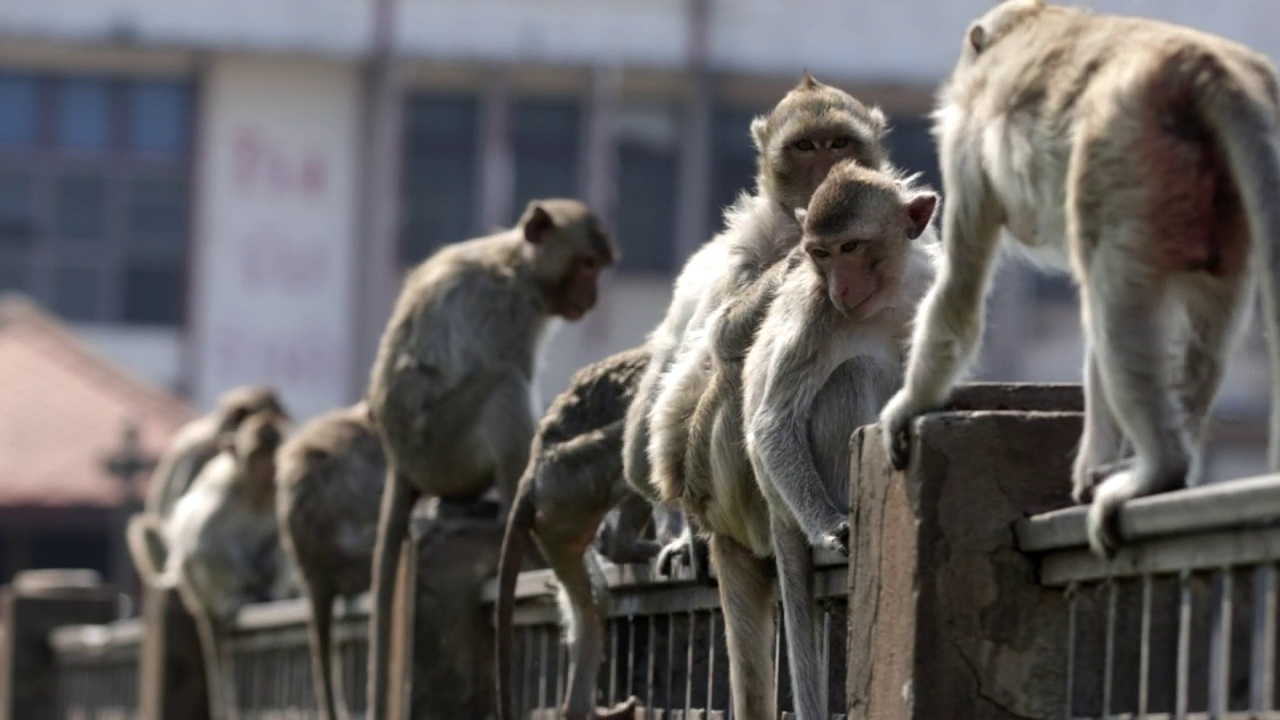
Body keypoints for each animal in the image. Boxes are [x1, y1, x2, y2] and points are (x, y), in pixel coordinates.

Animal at [126, 409, 293, 717]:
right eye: (258, 456)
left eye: (272, 456)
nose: (268, 471)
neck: (253, 492)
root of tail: (196, 603)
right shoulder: (222, 492)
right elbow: (199, 542)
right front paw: (249, 589)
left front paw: (267, 588)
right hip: (201, 591)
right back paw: (236, 597)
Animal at [366, 197, 619, 717]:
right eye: (586, 265)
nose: (593, 298)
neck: (519, 264)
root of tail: (398, 458)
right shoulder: (510, 314)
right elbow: (516, 382)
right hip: (443, 449)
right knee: (504, 385)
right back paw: (503, 511)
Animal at [622, 73, 890, 573]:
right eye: (805, 146)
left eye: (839, 143)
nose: (828, 172)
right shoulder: (750, 236)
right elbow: (723, 333)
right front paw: (798, 257)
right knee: (728, 372)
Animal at [875, 0, 1280, 558]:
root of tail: (1207, 70)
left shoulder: (964, 143)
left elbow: (959, 289)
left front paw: (907, 406)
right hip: (1214, 209)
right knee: (1205, 327)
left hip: (1122, 158)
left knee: (1115, 311)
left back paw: (1158, 472)